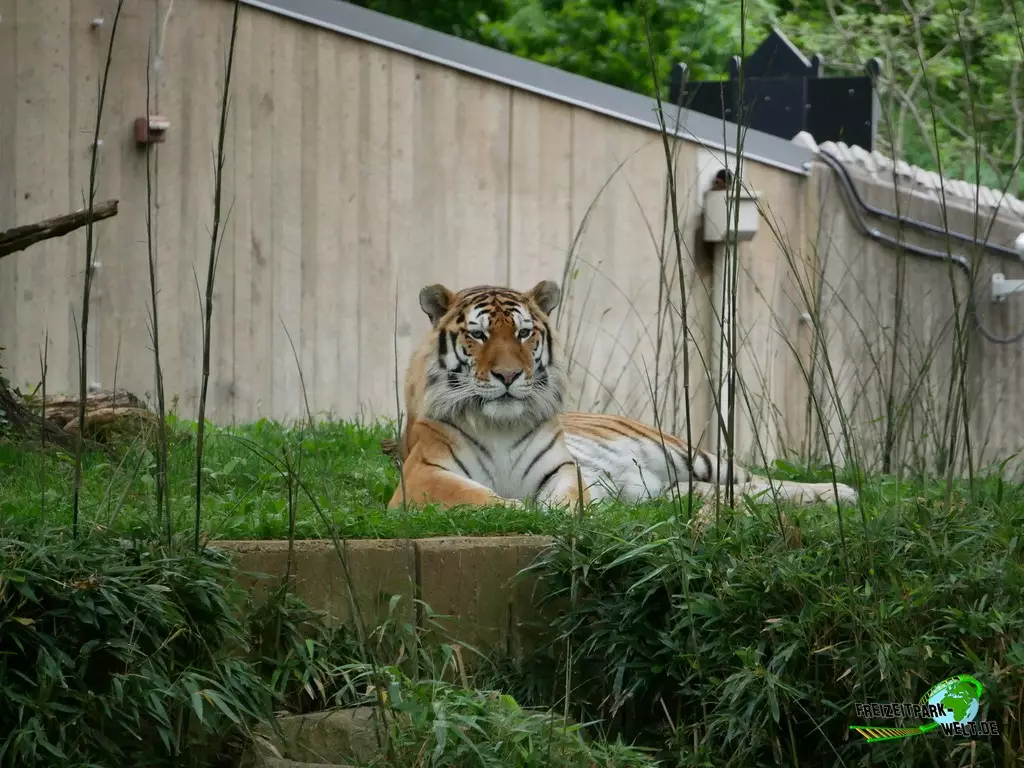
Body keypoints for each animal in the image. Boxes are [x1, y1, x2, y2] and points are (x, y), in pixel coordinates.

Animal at [385, 279, 858, 514]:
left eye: (523, 333)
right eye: (478, 335)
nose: (508, 375)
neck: (499, 424)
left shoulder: (562, 469)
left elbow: (567, 497)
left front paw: (561, 512)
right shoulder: (420, 478)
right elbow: (478, 498)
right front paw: (519, 509)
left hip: (689, 454)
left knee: (759, 481)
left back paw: (841, 492)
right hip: (676, 486)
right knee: (739, 493)